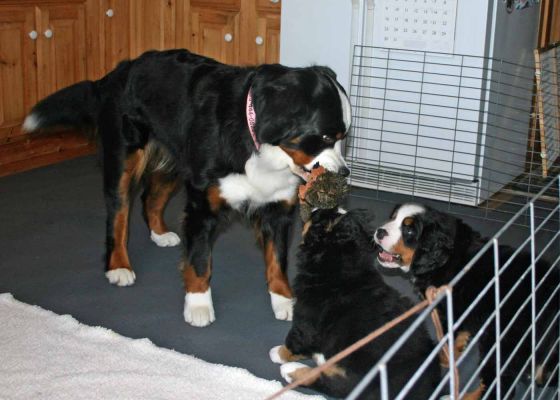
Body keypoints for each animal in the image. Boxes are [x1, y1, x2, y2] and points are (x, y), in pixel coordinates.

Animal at [25, 48, 354, 326]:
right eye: (326, 138)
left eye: (343, 139)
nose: (345, 172)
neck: (260, 146)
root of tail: (120, 70)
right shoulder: (203, 205)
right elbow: (199, 260)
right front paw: (198, 305)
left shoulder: (277, 208)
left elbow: (277, 259)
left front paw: (283, 299)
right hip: (123, 158)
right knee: (118, 214)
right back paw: (118, 265)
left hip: (175, 159)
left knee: (150, 198)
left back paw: (160, 234)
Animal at [270, 208, 440, 398]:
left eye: (318, 216)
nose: (313, 209)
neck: (338, 259)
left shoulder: (307, 318)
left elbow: (295, 341)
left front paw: (279, 353)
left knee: (340, 385)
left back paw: (291, 370)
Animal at [376, 205, 560, 398]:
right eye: (392, 218)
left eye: (409, 230)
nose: (379, 231)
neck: (446, 257)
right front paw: (455, 352)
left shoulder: (449, 310)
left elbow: (446, 338)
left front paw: (443, 358)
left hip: (502, 341)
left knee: (500, 386)